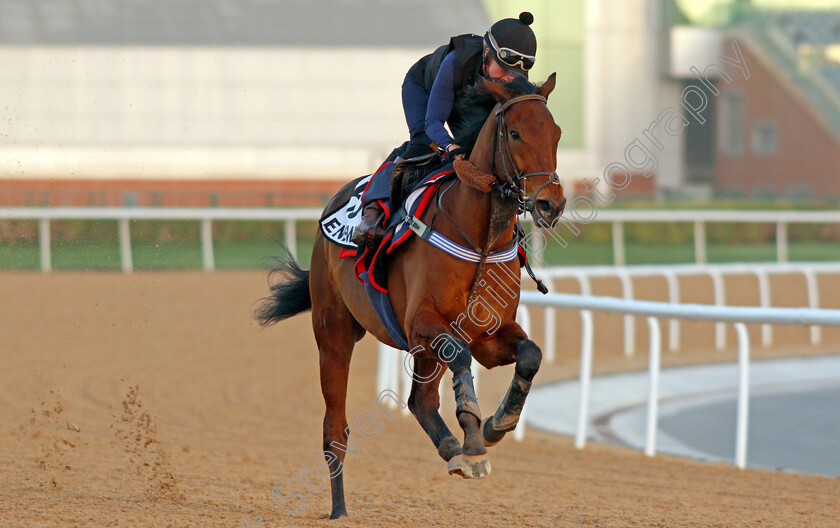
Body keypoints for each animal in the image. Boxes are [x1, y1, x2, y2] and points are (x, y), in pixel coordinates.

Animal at [258, 74, 564, 520]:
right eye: (515, 132)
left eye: (556, 133)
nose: (550, 203)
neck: (480, 239)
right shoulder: (422, 323)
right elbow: (459, 355)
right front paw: (474, 438)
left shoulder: (488, 335)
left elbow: (530, 355)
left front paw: (495, 424)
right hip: (333, 333)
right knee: (335, 429)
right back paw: (339, 509)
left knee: (420, 400)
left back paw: (452, 448)